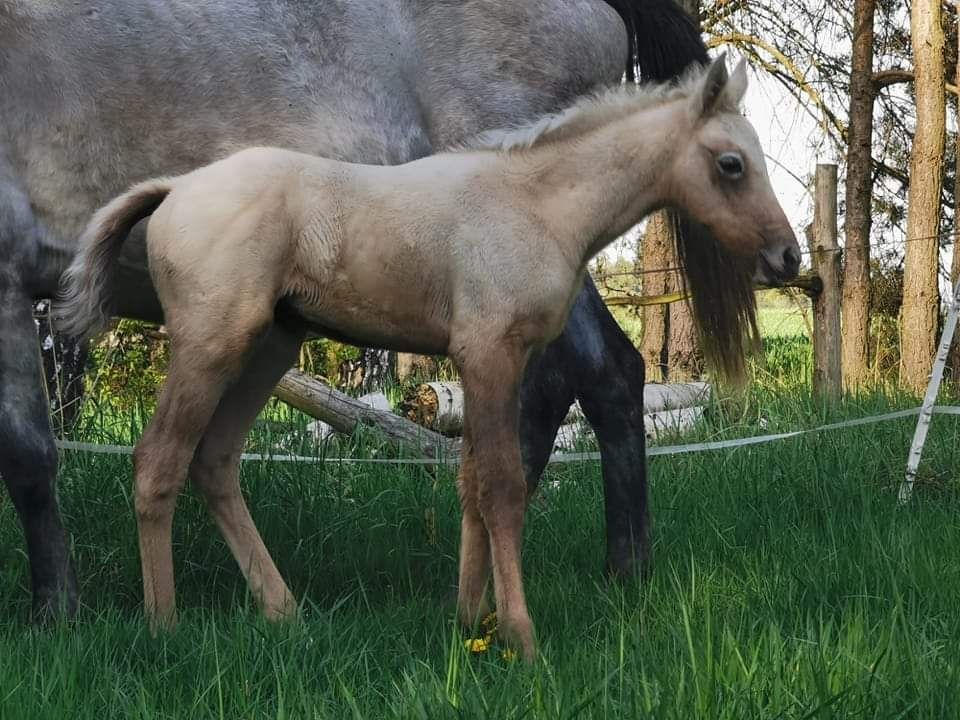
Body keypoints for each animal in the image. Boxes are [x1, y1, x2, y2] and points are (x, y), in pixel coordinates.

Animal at [56, 59, 800, 660]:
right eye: (731, 164)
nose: (787, 258)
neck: (536, 204)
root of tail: (174, 190)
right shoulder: (491, 352)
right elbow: (502, 485)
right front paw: (520, 636)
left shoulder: (487, 362)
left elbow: (471, 482)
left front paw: (468, 620)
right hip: (211, 346)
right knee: (159, 461)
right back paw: (165, 626)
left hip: (269, 347)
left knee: (213, 462)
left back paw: (285, 613)